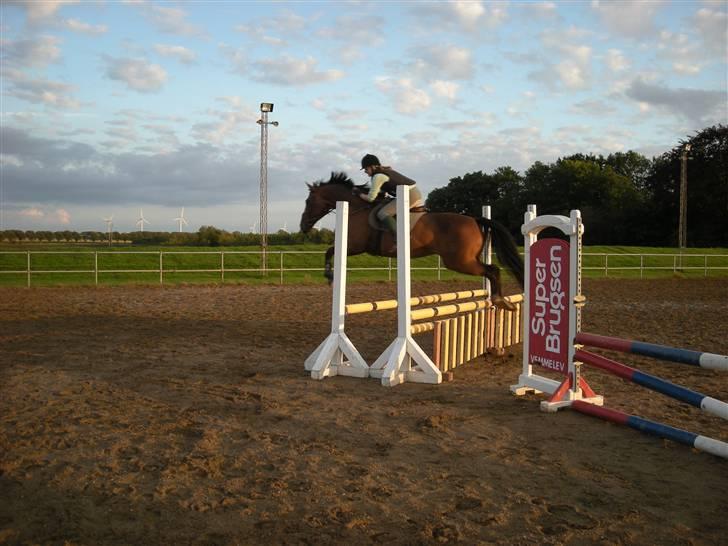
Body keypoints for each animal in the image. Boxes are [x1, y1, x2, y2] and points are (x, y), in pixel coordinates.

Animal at [300, 171, 524, 306]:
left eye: (308, 201)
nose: (303, 226)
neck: (354, 208)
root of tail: (475, 219)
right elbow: (329, 251)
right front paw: (329, 276)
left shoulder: (353, 246)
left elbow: (329, 251)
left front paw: (329, 276)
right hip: (467, 259)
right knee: (491, 270)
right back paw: (502, 301)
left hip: (460, 261)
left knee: (492, 270)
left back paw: (500, 300)